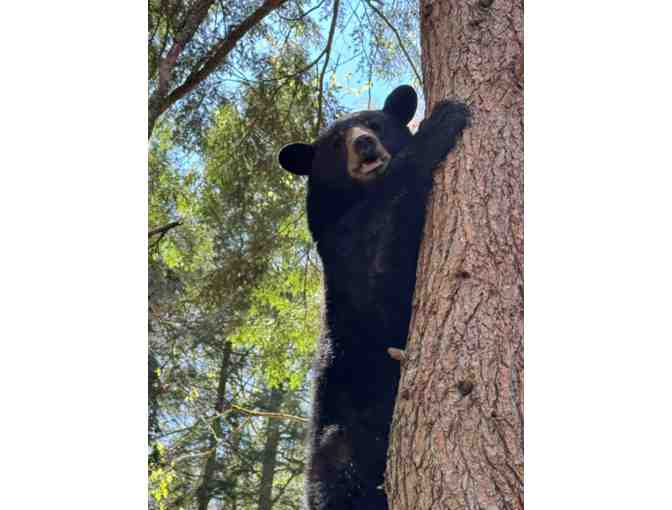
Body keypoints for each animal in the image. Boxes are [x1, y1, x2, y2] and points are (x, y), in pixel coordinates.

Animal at [278, 85, 469, 510]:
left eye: (376, 124)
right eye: (335, 143)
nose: (363, 143)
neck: (357, 199)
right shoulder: (342, 251)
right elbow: (378, 274)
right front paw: (441, 122)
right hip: (342, 439)